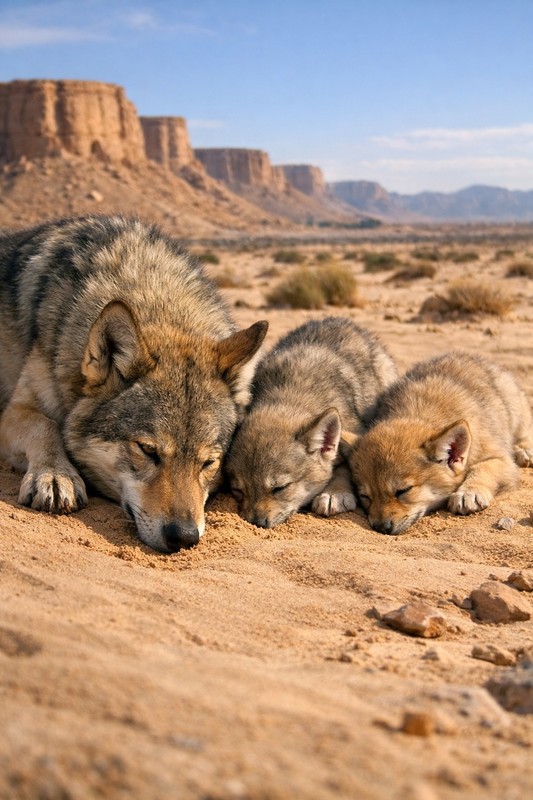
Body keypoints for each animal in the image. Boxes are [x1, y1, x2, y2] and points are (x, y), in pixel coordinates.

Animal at [0, 215, 267, 552]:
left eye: (208, 463)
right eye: (148, 450)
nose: (185, 537)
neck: (154, 296)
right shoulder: (15, 410)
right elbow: (44, 426)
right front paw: (54, 475)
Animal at [225, 317, 397, 528]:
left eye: (280, 488)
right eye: (238, 491)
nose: (257, 523)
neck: (291, 396)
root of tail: (339, 319)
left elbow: (344, 468)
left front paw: (334, 493)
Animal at [345, 351, 533, 535]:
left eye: (403, 491)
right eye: (365, 497)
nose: (381, 528)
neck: (420, 415)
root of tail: (467, 354)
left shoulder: (502, 460)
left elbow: (483, 468)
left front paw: (468, 492)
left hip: (515, 410)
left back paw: (524, 449)